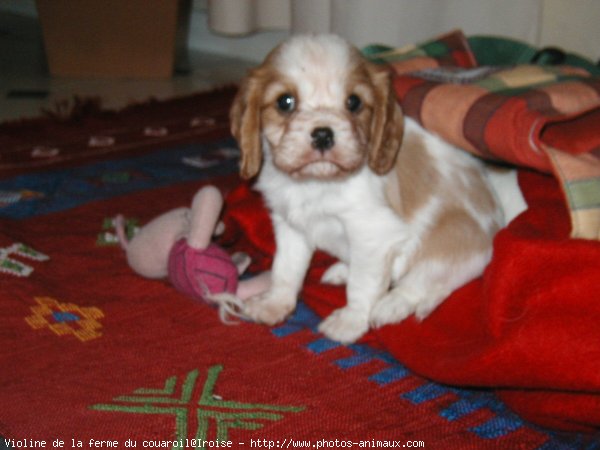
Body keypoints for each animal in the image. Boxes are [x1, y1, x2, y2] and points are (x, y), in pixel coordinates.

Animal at [230, 34, 516, 344]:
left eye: (353, 102)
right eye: (285, 102)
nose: (323, 134)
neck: (317, 182)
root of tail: (497, 220)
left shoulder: (373, 234)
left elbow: (362, 284)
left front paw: (351, 322)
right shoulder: (290, 226)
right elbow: (285, 269)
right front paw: (275, 304)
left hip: (451, 238)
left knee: (422, 283)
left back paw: (392, 304)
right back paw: (342, 270)